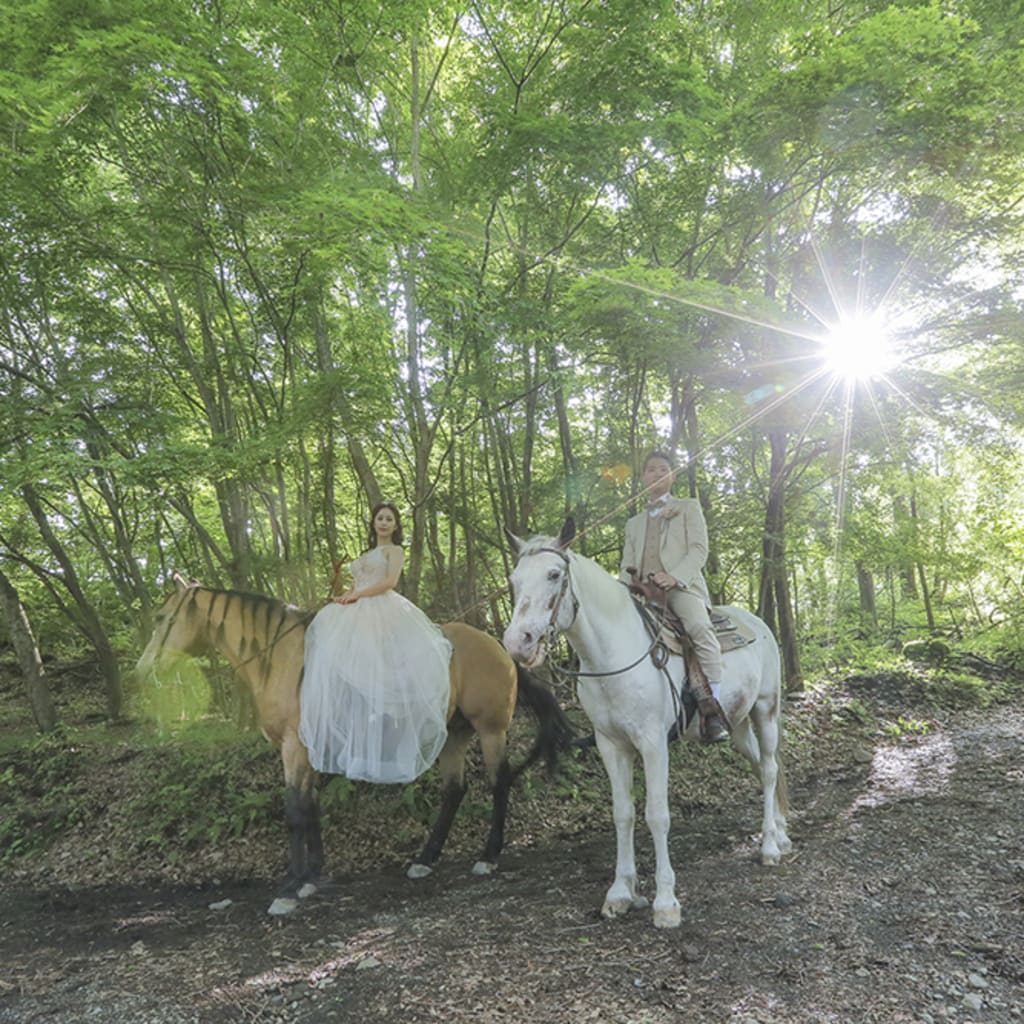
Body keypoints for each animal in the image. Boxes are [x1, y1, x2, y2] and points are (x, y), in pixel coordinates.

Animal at [138, 573, 577, 917]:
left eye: (161, 618)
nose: (144, 670)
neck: (284, 661)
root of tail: (498, 647)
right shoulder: (309, 749)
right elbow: (310, 805)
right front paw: (311, 877)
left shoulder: (294, 748)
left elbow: (294, 811)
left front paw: (289, 889)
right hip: (453, 734)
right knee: (454, 790)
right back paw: (425, 859)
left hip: (490, 730)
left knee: (498, 784)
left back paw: (488, 856)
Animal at [503, 520, 790, 929]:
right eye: (513, 579)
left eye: (554, 574)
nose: (517, 642)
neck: (613, 653)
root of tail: (757, 623)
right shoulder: (611, 745)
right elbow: (622, 814)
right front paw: (620, 893)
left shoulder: (653, 743)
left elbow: (657, 815)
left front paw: (666, 902)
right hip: (736, 724)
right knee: (763, 765)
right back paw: (780, 834)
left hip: (766, 710)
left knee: (768, 770)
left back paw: (769, 846)